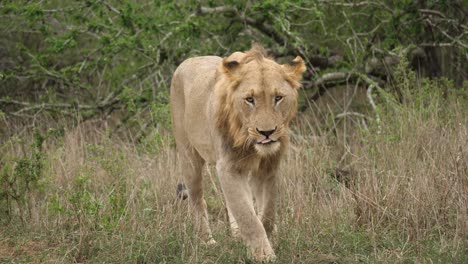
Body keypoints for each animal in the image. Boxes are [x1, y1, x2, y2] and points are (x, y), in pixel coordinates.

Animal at [170, 44, 306, 260]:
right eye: (250, 99)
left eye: (278, 98)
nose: (267, 132)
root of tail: (188, 61)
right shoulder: (228, 167)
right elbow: (248, 217)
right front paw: (263, 255)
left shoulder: (268, 167)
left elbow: (266, 212)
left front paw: (268, 237)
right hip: (188, 154)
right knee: (197, 199)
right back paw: (207, 241)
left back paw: (236, 235)